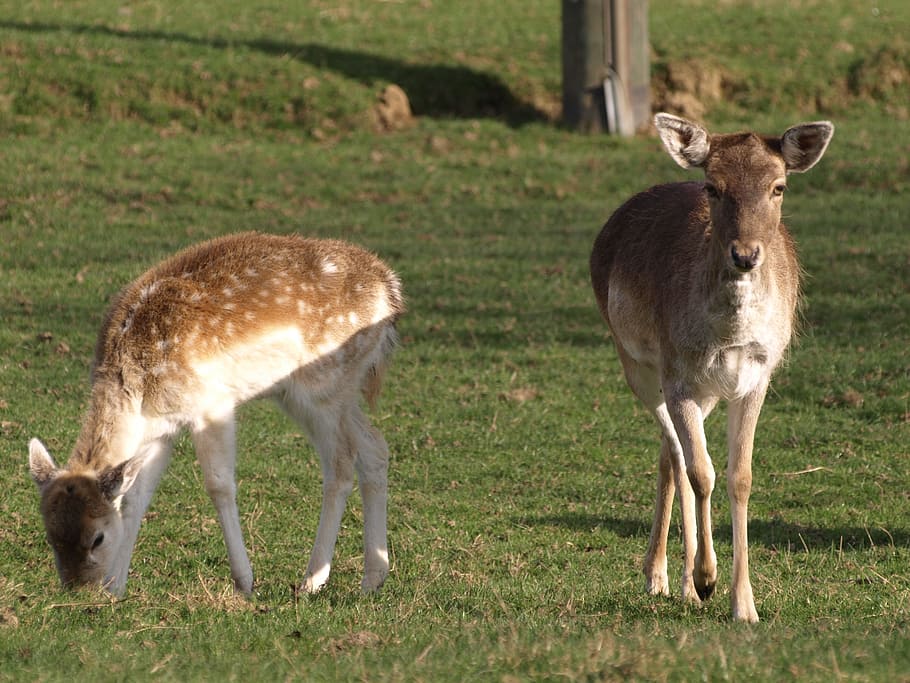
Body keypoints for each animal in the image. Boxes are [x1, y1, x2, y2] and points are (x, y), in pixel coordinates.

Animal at [26, 232, 404, 596]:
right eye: (49, 534)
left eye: (97, 537)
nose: (77, 590)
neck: (136, 390)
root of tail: (390, 289)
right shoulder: (161, 429)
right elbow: (136, 497)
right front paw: (116, 589)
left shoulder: (212, 404)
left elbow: (219, 485)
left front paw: (245, 582)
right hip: (326, 393)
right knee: (374, 446)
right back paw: (372, 579)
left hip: (322, 388)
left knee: (341, 463)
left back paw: (312, 580)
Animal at [592, 113, 832, 624]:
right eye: (712, 187)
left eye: (779, 187)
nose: (745, 255)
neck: (728, 336)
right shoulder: (677, 373)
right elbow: (702, 472)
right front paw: (707, 579)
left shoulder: (758, 376)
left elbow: (740, 477)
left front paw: (745, 605)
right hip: (639, 366)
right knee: (676, 452)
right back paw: (665, 577)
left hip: (704, 392)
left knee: (670, 454)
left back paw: (674, 581)